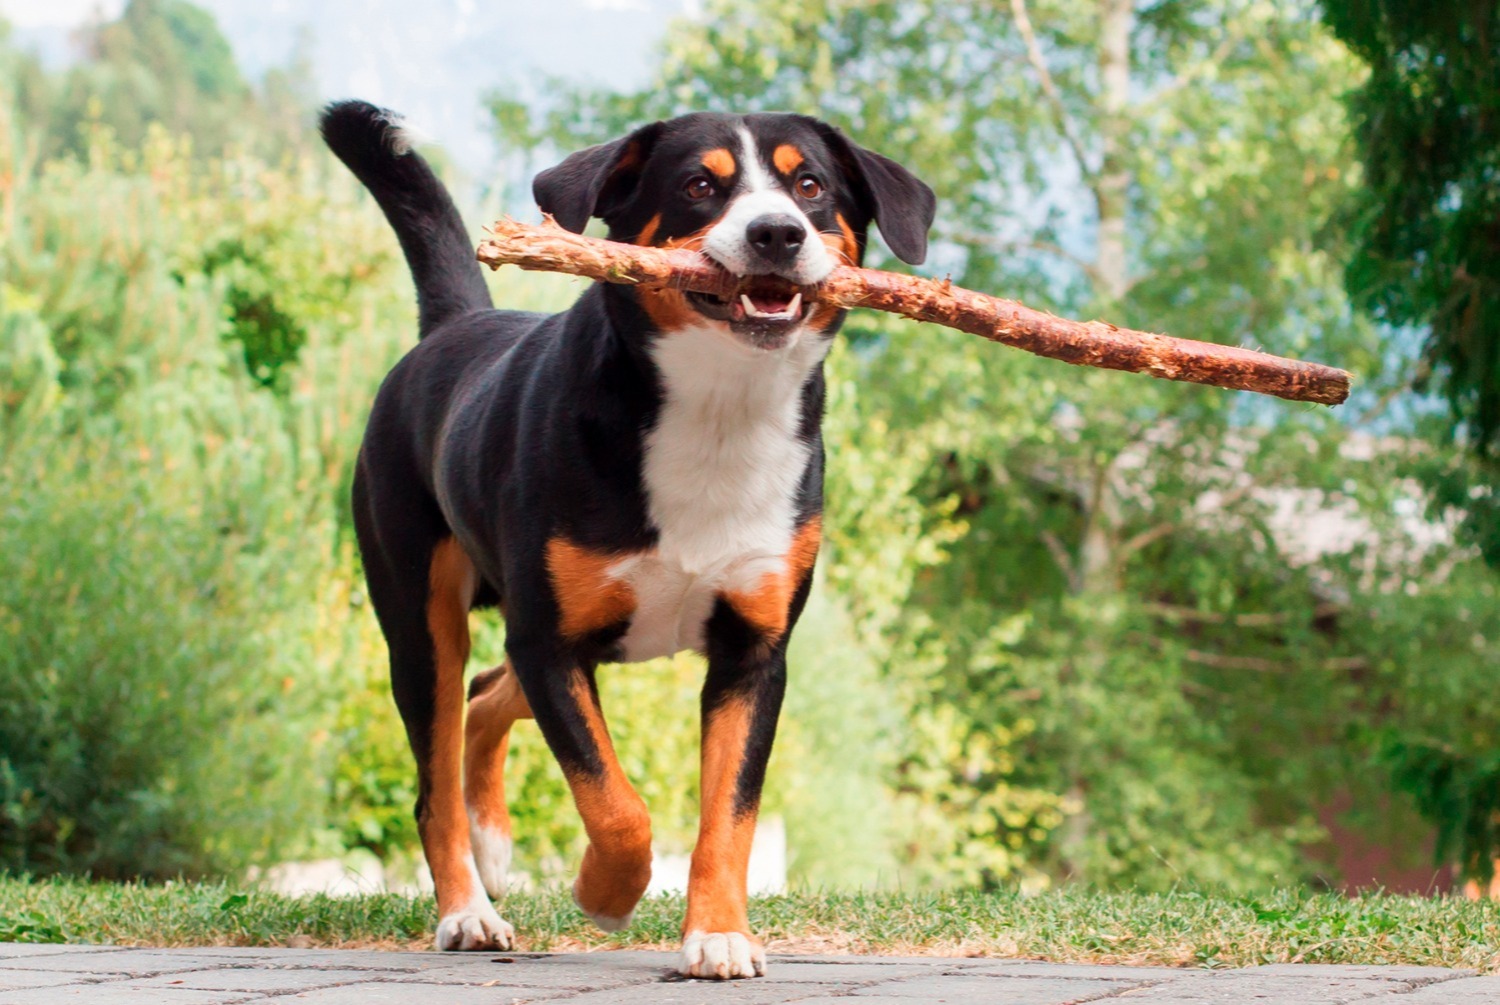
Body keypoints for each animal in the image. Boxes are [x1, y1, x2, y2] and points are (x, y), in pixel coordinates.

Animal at [322, 102, 930, 984]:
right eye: (700, 185)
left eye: (810, 184)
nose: (777, 233)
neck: (717, 412)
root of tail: (456, 324)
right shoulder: (551, 640)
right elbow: (615, 804)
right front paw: (604, 892)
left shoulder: (752, 650)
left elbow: (729, 814)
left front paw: (718, 933)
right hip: (423, 616)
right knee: (436, 766)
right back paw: (468, 909)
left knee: (484, 697)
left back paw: (492, 840)